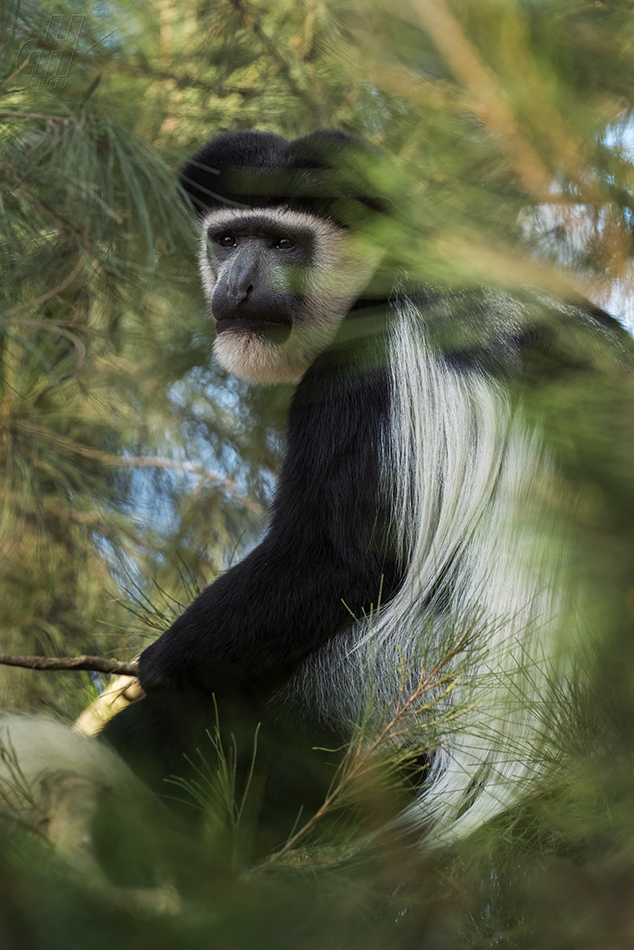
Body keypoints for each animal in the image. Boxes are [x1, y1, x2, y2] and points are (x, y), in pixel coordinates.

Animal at [101, 126, 628, 848]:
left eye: (285, 244)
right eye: (229, 240)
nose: (238, 288)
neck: (385, 279)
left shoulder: (360, 370)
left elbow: (337, 558)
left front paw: (156, 667)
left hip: (393, 688)